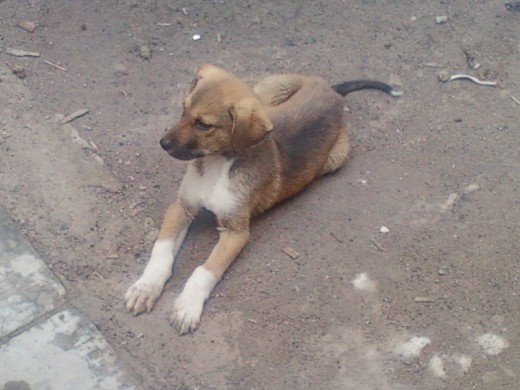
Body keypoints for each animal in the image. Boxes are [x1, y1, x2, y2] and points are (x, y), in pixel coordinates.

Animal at [124, 65, 400, 334]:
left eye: (204, 125)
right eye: (183, 109)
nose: (163, 143)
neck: (218, 163)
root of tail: (331, 92)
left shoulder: (236, 231)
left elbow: (205, 270)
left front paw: (187, 306)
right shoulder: (182, 207)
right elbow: (162, 251)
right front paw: (145, 288)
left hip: (336, 158)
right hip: (270, 88)